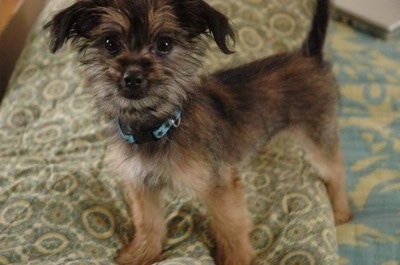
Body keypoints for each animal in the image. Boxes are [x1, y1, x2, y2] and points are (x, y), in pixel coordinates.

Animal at [44, 0, 354, 262]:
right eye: (110, 43)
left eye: (164, 44)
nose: (132, 77)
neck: (158, 128)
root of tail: (308, 55)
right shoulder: (141, 184)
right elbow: (148, 223)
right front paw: (140, 255)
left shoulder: (220, 185)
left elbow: (231, 227)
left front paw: (237, 259)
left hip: (319, 134)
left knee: (336, 169)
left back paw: (340, 210)